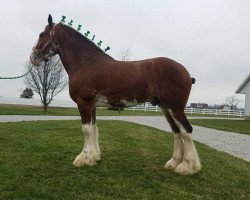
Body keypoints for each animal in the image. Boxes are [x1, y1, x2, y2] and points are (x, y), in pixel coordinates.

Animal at [29, 14, 201, 175]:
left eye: (41, 34)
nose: (33, 58)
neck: (86, 64)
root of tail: (186, 73)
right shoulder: (92, 105)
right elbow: (93, 128)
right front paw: (93, 157)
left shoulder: (83, 103)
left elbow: (86, 129)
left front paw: (83, 158)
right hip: (165, 107)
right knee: (176, 131)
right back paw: (173, 163)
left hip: (175, 107)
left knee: (186, 131)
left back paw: (186, 167)